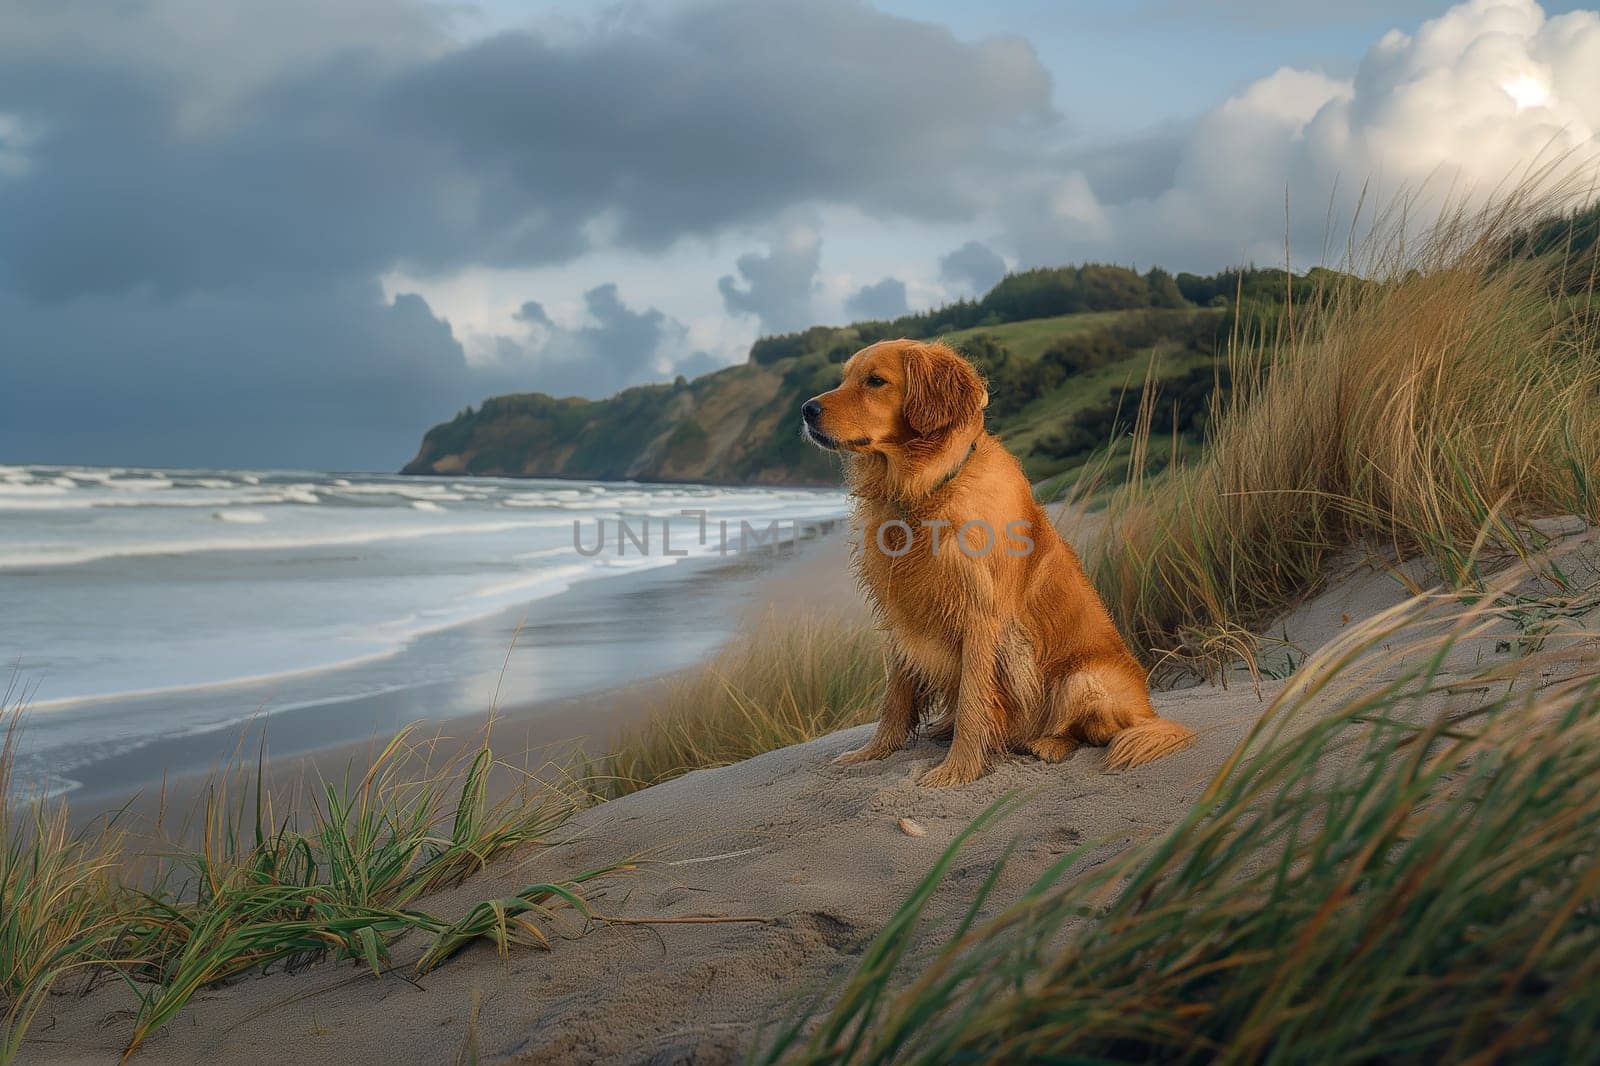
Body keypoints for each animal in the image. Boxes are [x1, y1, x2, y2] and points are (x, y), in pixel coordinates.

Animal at [800, 336, 1190, 784]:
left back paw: (1043, 744)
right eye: (844, 378)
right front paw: (872, 753)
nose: (806, 409)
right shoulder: (904, 610)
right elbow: (894, 697)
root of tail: (1149, 710)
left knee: (1088, 732)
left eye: (875, 381)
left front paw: (957, 771)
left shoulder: (980, 616)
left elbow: (974, 703)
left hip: (1084, 679)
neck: (925, 490)